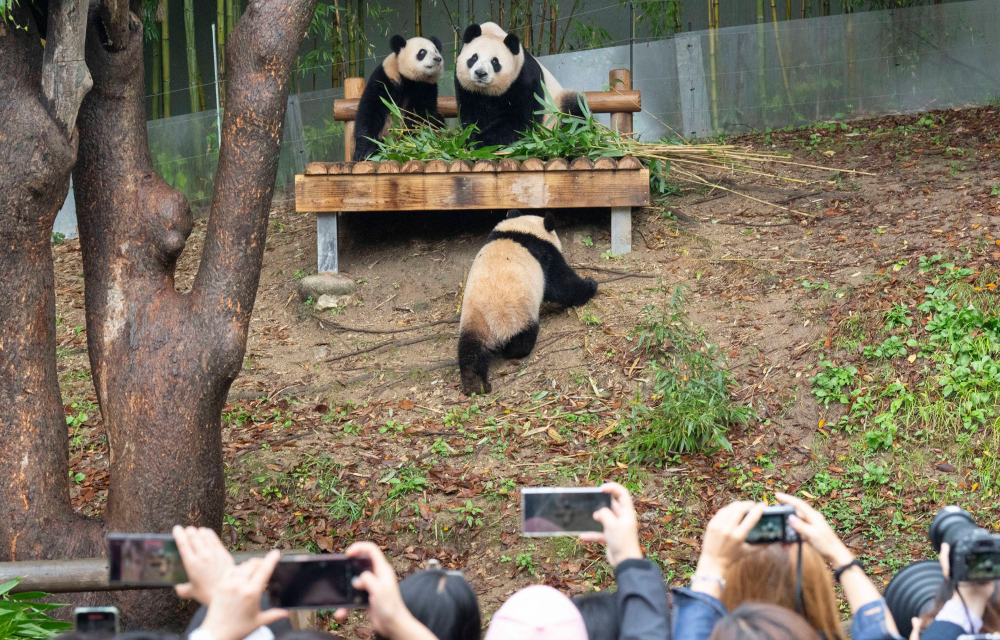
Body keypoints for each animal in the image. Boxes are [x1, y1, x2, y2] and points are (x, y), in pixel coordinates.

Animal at [354, 34, 444, 162]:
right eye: (422, 52)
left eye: (436, 50)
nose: (437, 59)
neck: (410, 80)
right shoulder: (386, 77)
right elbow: (369, 111)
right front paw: (364, 152)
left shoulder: (426, 88)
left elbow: (420, 116)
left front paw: (411, 142)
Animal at [456, 21, 584, 147]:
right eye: (474, 58)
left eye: (495, 61)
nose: (480, 73)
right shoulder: (465, 88)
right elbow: (471, 115)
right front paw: (470, 136)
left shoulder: (525, 78)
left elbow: (521, 120)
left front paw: (478, 141)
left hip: (557, 107)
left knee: (574, 109)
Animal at [458, 211, 596, 396]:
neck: (521, 229)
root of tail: (493, 319)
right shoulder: (545, 255)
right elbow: (562, 283)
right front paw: (590, 285)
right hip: (519, 314)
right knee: (522, 339)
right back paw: (515, 352)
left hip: (474, 319)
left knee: (470, 350)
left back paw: (476, 385)